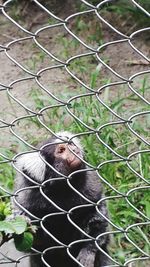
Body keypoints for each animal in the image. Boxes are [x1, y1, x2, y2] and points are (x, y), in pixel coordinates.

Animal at [13, 132, 109, 267]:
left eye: (71, 144)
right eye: (61, 150)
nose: (74, 150)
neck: (61, 191)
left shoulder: (92, 191)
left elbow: (98, 219)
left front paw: (88, 249)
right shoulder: (27, 201)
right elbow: (33, 245)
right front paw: (26, 222)